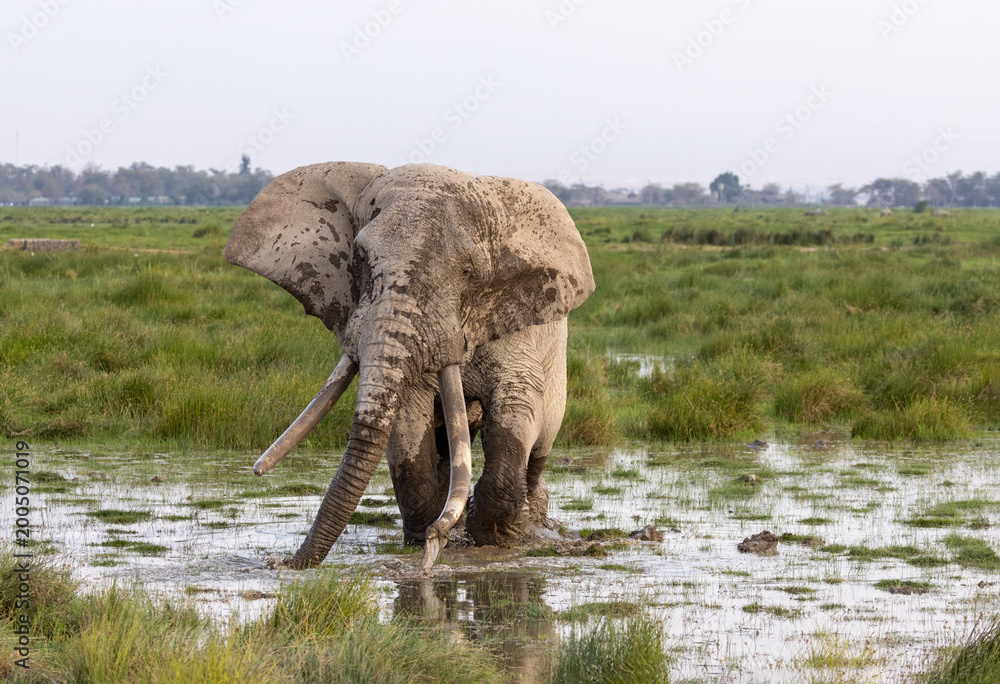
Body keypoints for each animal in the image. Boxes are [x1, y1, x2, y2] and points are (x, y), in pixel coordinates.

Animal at [223, 161, 594, 572]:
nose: (280, 562)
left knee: (541, 439)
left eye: (469, 273)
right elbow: (408, 421)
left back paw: (532, 519)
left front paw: (493, 539)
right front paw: (425, 539)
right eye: (359, 259)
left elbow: (517, 400)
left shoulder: (513, 317)